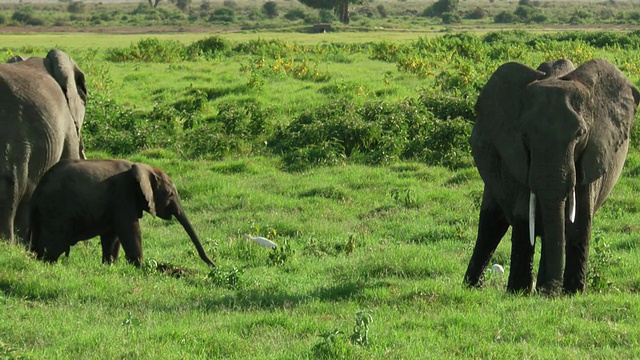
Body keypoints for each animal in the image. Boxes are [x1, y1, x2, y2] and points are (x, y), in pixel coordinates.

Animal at [462, 59, 640, 296]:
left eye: (580, 135)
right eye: (525, 136)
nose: (551, 290)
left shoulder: (592, 154)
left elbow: (579, 219)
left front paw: (572, 293)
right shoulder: (517, 158)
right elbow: (523, 216)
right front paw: (519, 292)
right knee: (492, 224)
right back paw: (473, 286)